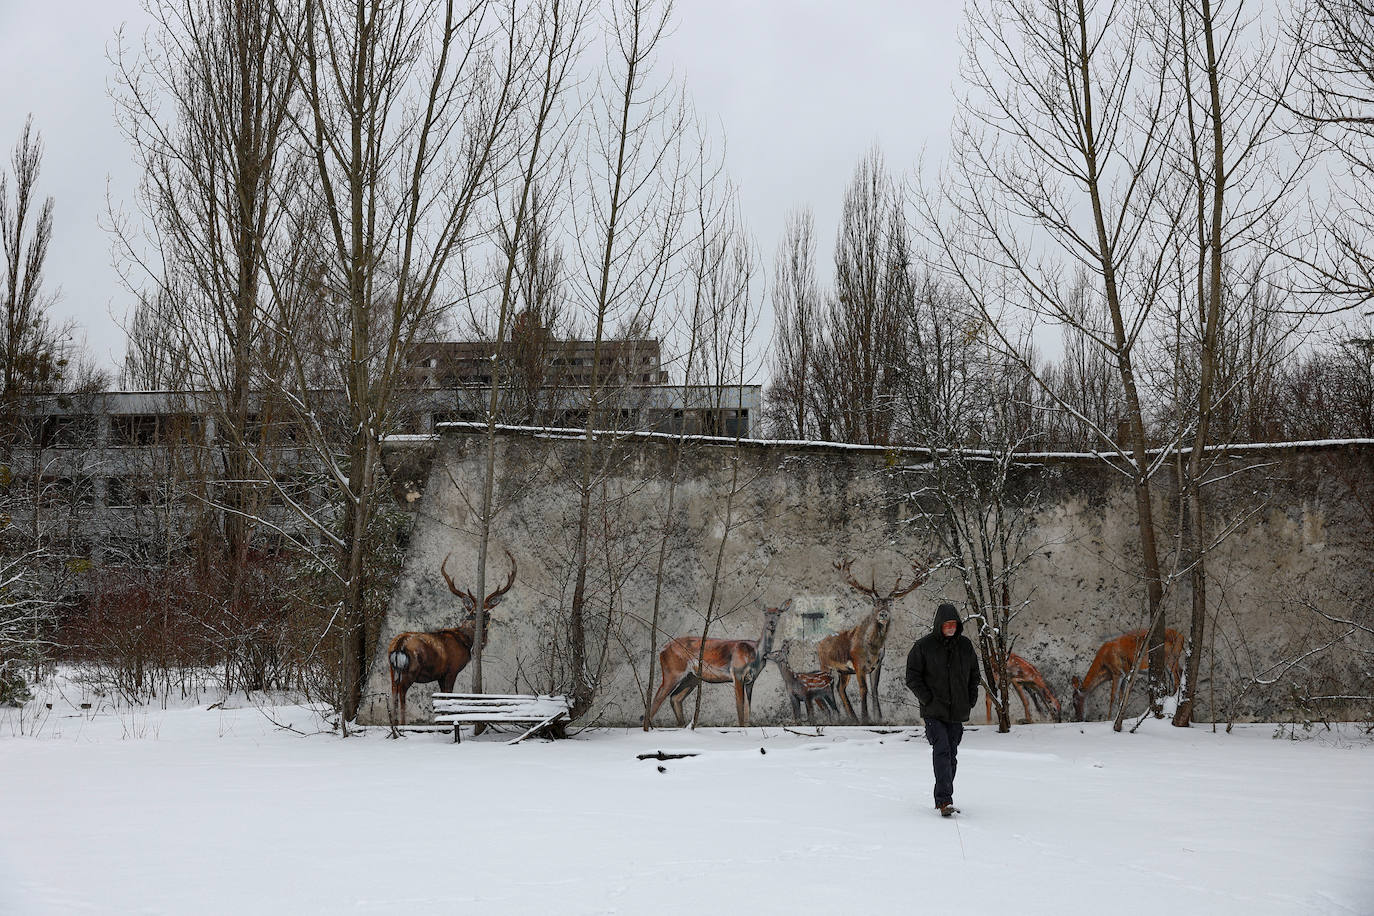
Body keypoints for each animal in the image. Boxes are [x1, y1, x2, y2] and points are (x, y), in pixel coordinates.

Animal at [384, 552, 516, 725]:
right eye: (474, 612)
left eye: (487, 613)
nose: (482, 625)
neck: (465, 641)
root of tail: (399, 644)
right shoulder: (451, 670)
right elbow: (449, 697)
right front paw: (448, 723)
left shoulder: (440, 674)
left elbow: (442, 698)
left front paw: (443, 722)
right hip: (410, 669)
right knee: (401, 691)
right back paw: (402, 725)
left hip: (392, 669)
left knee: (393, 691)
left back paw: (393, 725)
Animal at [645, 601, 791, 730]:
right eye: (766, 613)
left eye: (778, 614)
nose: (771, 623)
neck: (756, 654)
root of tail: (662, 650)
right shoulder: (737, 673)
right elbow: (740, 706)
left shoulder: (751, 679)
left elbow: (748, 708)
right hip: (673, 671)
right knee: (657, 699)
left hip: (692, 677)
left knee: (674, 698)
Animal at [813, 560, 934, 725]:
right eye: (875, 604)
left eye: (890, 604)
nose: (883, 614)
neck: (873, 648)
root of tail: (818, 643)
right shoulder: (858, 663)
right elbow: (863, 689)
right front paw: (866, 717)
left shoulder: (877, 664)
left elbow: (875, 689)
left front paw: (879, 718)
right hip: (825, 664)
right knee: (824, 686)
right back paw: (832, 716)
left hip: (843, 670)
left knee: (840, 688)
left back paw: (852, 717)